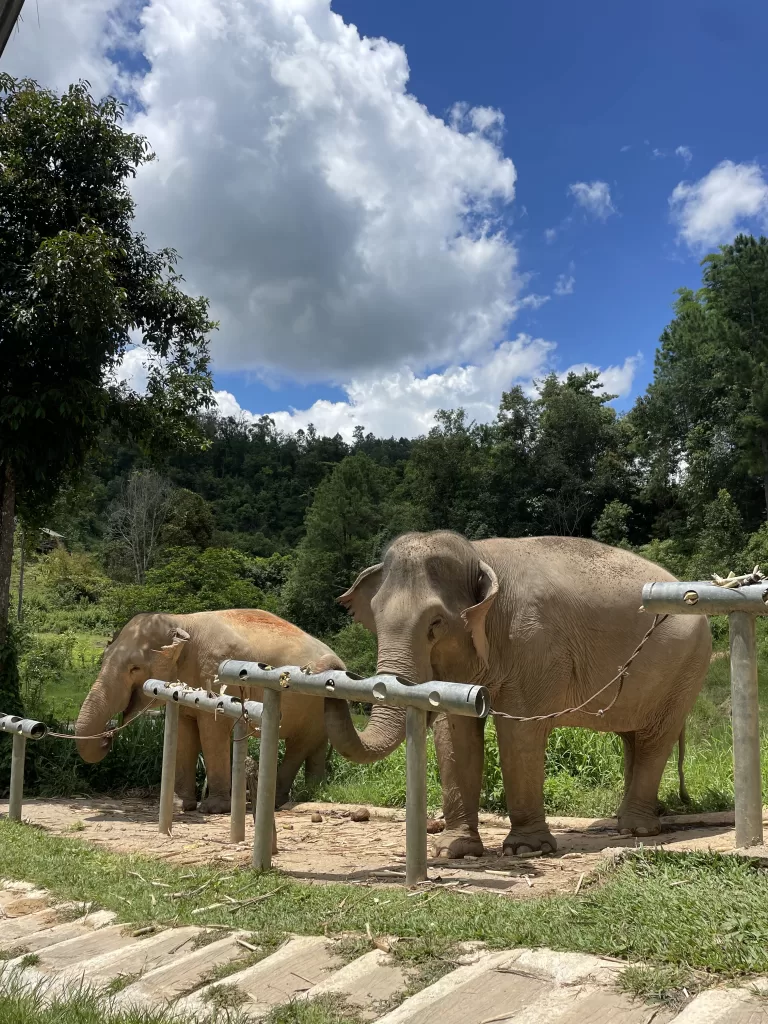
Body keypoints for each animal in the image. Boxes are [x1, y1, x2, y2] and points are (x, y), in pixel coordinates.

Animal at [75, 608, 344, 813]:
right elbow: (185, 734)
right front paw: (180, 806)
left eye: (135, 668)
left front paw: (213, 809)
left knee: (299, 745)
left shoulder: (215, 672)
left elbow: (212, 731)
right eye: (103, 659)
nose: (109, 734)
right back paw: (312, 791)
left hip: (312, 702)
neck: (180, 620)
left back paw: (276, 802)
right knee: (315, 746)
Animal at [324, 531, 711, 858]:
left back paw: (637, 831)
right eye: (375, 618)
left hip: (688, 667)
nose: (331, 672)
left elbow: (520, 733)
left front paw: (526, 850)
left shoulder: (533, 643)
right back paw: (623, 824)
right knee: (633, 737)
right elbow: (454, 734)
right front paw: (452, 851)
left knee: (654, 739)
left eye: (436, 623)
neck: (479, 555)